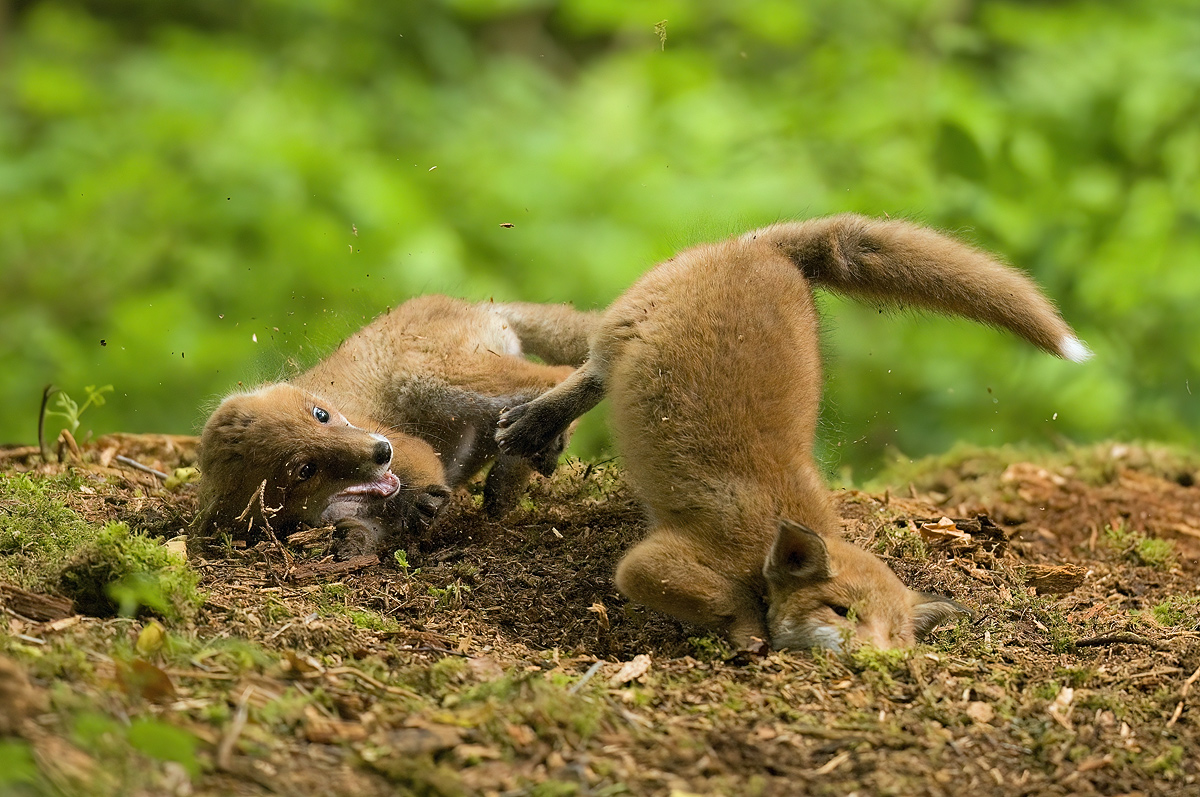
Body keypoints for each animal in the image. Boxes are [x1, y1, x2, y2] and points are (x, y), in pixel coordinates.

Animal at [195, 295, 600, 556]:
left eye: (321, 415)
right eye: (306, 470)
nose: (381, 451)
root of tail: (474, 302)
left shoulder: (407, 445)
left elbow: (421, 469)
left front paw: (420, 504)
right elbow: (368, 535)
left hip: (435, 382)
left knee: (562, 374)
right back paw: (513, 473)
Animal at [492, 214, 1094, 652]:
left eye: (898, 633)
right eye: (841, 612)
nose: (879, 658)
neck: (765, 543)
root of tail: (767, 251)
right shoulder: (653, 564)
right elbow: (725, 598)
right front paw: (750, 633)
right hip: (624, 330)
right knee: (589, 376)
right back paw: (532, 426)